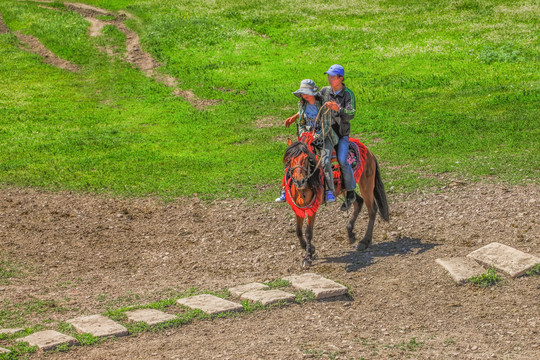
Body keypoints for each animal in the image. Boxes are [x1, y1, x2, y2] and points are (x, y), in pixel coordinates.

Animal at [282, 136, 388, 266]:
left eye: (306, 158)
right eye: (289, 159)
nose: (299, 181)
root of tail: (369, 152)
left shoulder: (313, 208)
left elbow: (308, 232)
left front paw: (307, 257)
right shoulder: (299, 208)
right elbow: (298, 231)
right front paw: (309, 248)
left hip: (366, 184)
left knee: (372, 210)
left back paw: (364, 241)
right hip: (346, 188)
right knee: (358, 201)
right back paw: (350, 232)